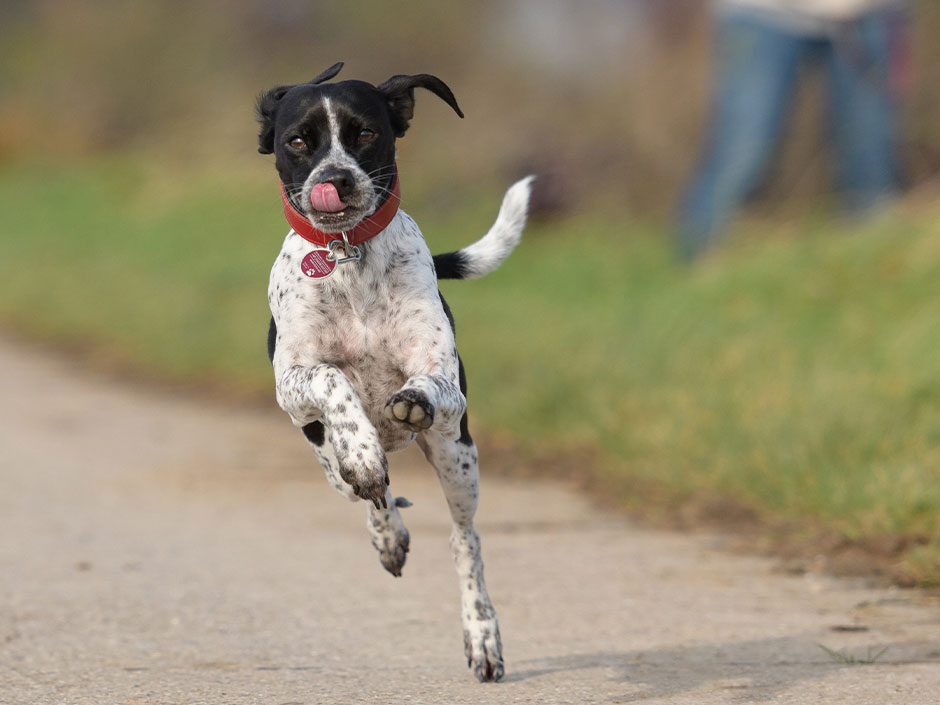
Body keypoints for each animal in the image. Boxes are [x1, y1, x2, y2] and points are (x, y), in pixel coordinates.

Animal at [258, 62, 532, 680]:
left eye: (364, 133)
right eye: (297, 142)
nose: (335, 179)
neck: (345, 255)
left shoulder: (446, 385)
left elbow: (426, 384)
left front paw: (411, 400)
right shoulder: (292, 385)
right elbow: (333, 379)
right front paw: (361, 449)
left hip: (458, 459)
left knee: (464, 541)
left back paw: (482, 635)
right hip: (324, 460)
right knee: (369, 494)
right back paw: (384, 521)